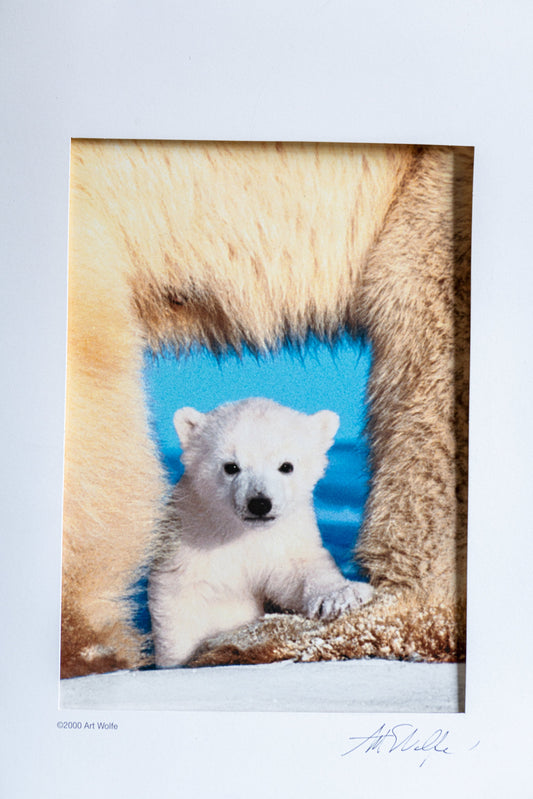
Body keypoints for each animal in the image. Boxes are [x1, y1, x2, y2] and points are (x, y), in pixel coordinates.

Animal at [148, 398, 374, 667]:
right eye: (231, 466)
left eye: (286, 466)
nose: (259, 503)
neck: (241, 532)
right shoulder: (192, 536)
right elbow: (180, 602)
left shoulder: (283, 539)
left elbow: (299, 573)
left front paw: (341, 597)